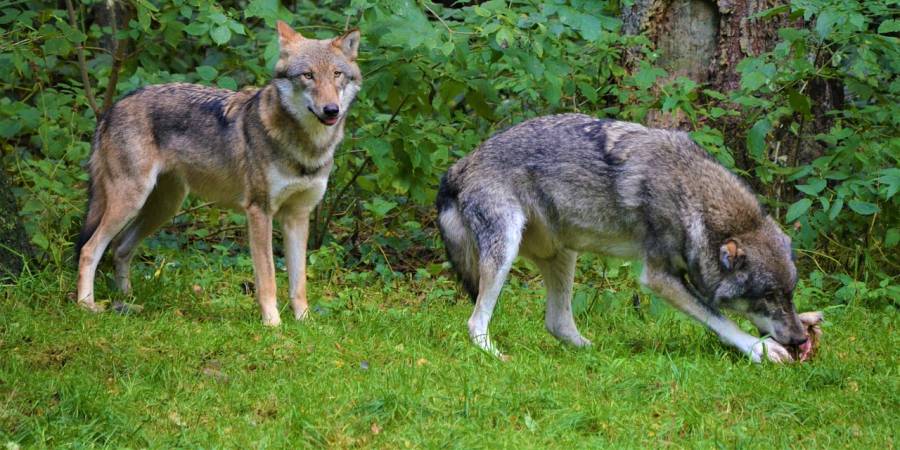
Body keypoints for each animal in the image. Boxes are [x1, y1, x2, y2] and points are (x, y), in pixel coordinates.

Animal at [74, 21, 362, 326]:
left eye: (337, 74)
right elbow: (268, 278)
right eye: (308, 75)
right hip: (131, 202)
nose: (331, 110)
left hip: (163, 207)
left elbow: (299, 281)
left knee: (120, 247)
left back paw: (128, 300)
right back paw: (87, 305)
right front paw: (273, 324)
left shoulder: (298, 216)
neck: (307, 147)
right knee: (90, 249)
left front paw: (304, 322)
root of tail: (112, 108)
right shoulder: (259, 211)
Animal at [440, 113, 812, 362]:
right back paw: (496, 357)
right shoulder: (659, 277)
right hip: (505, 252)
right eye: (767, 296)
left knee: (557, 323)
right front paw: (758, 348)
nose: (800, 339)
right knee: (476, 321)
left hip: (564, 254)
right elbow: (718, 318)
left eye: (790, 294)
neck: (693, 195)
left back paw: (596, 354)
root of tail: (458, 166)